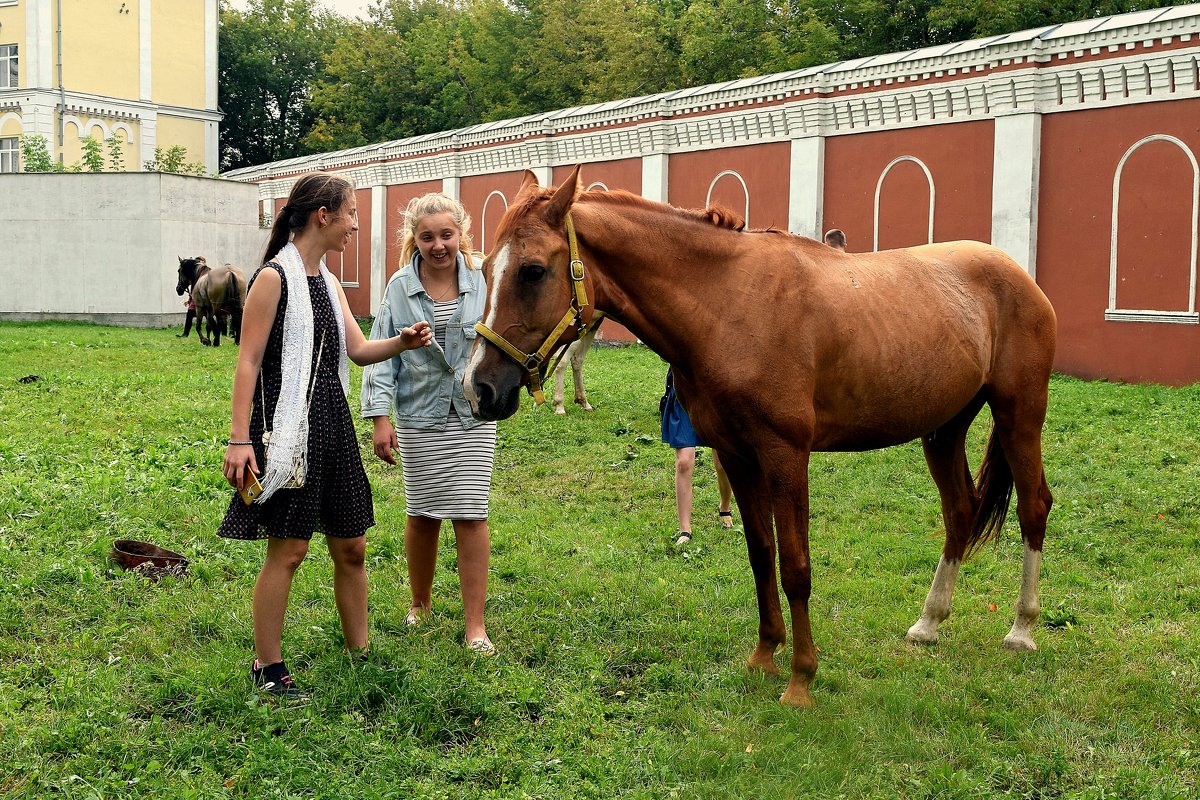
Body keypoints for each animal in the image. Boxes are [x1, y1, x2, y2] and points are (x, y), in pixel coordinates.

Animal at [463, 167, 1056, 705]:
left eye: (533, 271)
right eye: (487, 268)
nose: (479, 387)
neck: (731, 303)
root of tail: (1019, 275)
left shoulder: (785, 455)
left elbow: (796, 567)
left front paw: (801, 679)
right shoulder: (738, 454)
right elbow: (760, 553)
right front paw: (765, 656)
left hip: (1019, 415)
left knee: (1034, 507)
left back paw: (1022, 628)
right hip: (944, 429)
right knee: (960, 511)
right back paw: (929, 623)